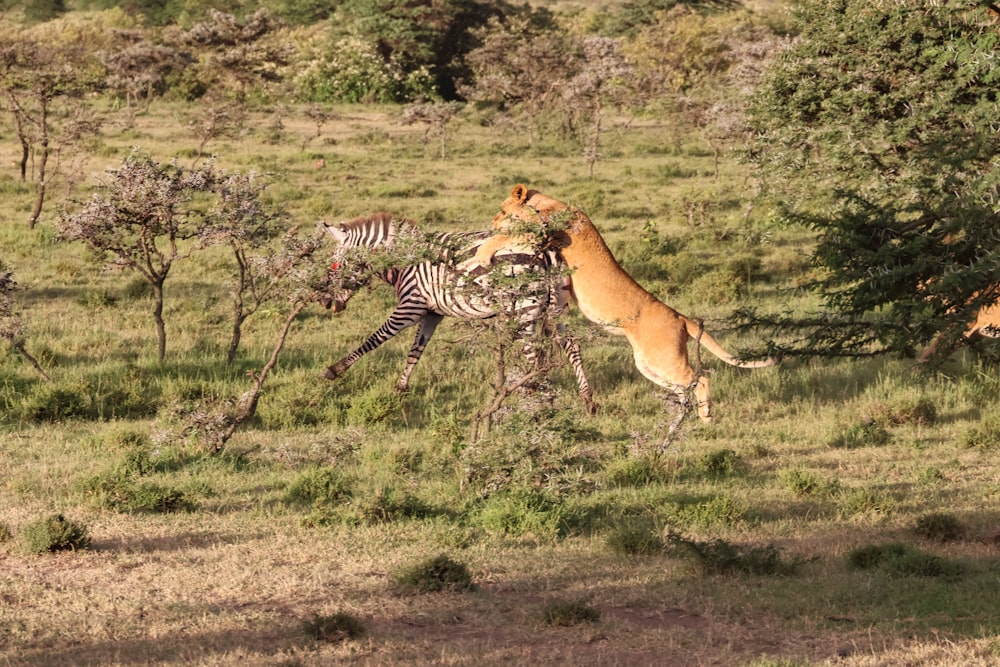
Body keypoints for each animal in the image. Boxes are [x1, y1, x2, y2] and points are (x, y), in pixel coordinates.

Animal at [318, 213, 592, 412]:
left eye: (334, 264)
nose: (326, 303)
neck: (404, 263)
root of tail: (544, 248)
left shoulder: (411, 306)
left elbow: (375, 338)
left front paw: (335, 369)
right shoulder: (431, 313)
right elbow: (415, 351)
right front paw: (400, 388)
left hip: (524, 310)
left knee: (536, 357)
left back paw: (540, 405)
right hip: (556, 307)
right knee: (570, 344)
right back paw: (587, 401)